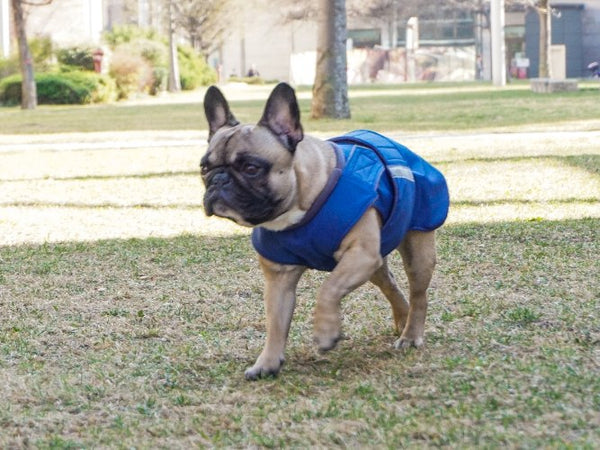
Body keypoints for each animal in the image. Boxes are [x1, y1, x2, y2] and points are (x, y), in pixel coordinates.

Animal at [202, 81, 450, 380]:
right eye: (204, 167)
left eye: (251, 168)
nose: (218, 180)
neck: (298, 207)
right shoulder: (279, 277)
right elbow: (275, 322)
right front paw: (267, 363)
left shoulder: (359, 255)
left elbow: (328, 288)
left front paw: (325, 332)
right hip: (376, 262)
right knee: (390, 284)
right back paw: (402, 318)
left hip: (415, 250)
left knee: (418, 293)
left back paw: (411, 335)